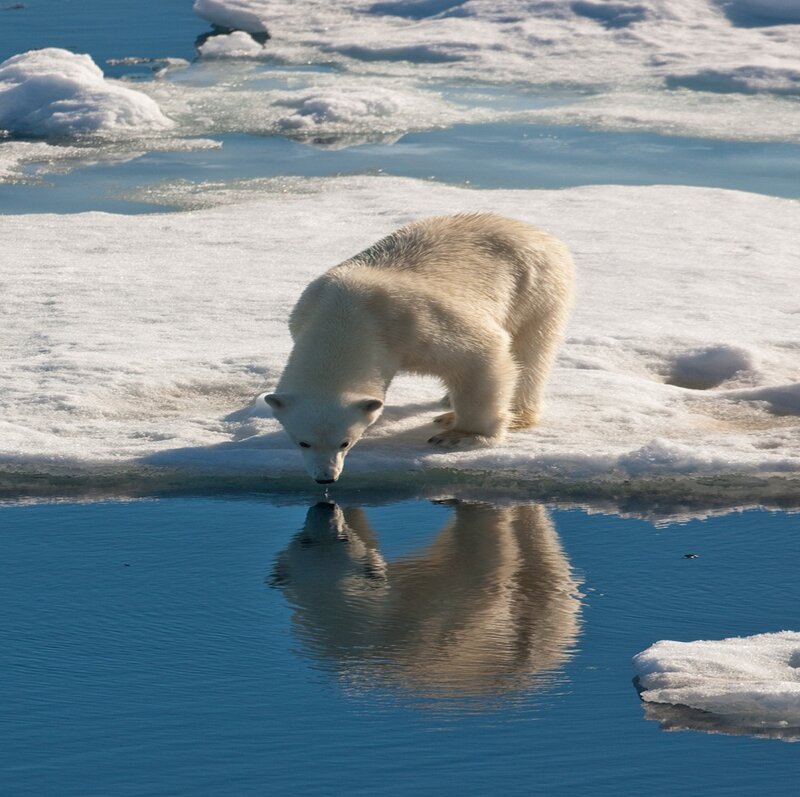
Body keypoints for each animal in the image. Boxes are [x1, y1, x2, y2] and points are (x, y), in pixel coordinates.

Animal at [266, 212, 574, 483]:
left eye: (345, 442)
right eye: (302, 442)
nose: (325, 478)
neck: (346, 314)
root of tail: (543, 235)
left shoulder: (412, 320)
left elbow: (484, 352)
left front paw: (461, 435)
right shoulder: (304, 312)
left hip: (535, 288)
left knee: (530, 352)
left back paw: (508, 414)